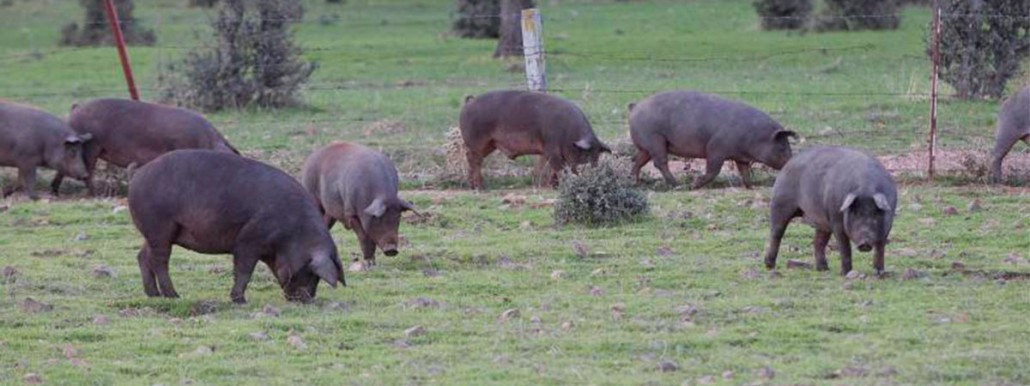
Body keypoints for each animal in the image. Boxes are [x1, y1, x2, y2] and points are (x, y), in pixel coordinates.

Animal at [128, 149, 344, 304]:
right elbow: (244, 271)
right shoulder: (248, 240)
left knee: (142, 256)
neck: (293, 235)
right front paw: (240, 301)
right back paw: (173, 295)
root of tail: (137, 177)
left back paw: (153, 294)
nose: (307, 300)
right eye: (311, 272)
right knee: (159, 260)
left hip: (154, 232)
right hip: (159, 226)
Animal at [461, 89, 609, 189]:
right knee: (474, 159)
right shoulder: (551, 148)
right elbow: (559, 169)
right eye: (585, 154)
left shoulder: (548, 151)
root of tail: (469, 102)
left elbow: (550, 169)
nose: (593, 171)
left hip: (491, 144)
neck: (570, 134)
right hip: (476, 141)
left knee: (471, 158)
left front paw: (550, 186)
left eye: (597, 156)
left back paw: (472, 186)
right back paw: (481, 188)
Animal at [626, 89, 795, 189]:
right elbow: (714, 170)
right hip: (655, 139)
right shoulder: (716, 148)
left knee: (638, 160)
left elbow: (744, 171)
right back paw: (678, 185)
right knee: (659, 162)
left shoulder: (741, 157)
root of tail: (635, 106)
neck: (754, 136)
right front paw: (695, 185)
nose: (791, 162)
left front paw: (750, 187)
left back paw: (633, 182)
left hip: (646, 146)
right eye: (782, 147)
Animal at [762, 146, 898, 275]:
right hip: (779, 202)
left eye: (875, 214)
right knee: (776, 233)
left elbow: (880, 248)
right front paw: (845, 273)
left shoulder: (887, 226)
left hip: (822, 222)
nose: (865, 243)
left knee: (818, 241)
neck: (866, 187)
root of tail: (788, 163)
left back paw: (823, 269)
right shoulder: (835, 219)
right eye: (855, 214)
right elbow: (844, 247)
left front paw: (879, 272)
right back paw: (769, 265)